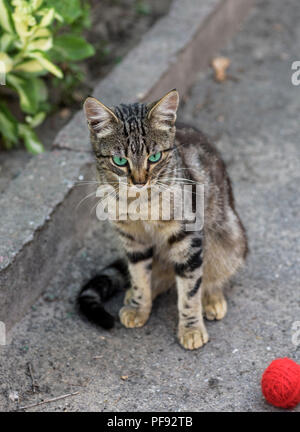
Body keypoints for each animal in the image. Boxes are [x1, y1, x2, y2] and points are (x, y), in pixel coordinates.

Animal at [83, 89, 247, 350]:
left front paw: (191, 328)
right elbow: (139, 276)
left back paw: (212, 298)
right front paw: (139, 306)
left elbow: (190, 290)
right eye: (120, 161)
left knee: (213, 274)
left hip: (227, 237)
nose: (139, 182)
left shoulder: (187, 238)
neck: (139, 203)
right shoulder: (132, 239)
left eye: (155, 157)